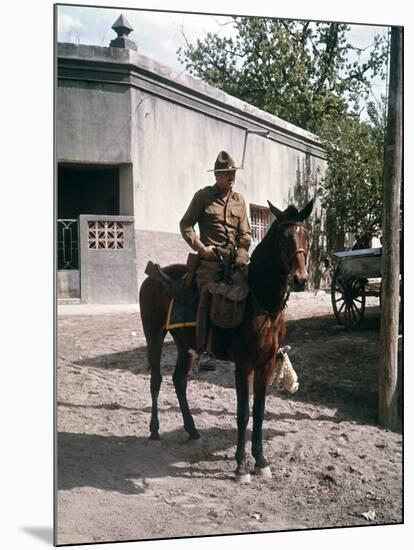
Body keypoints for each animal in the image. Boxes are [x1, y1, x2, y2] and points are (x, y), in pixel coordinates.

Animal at [139, 201, 314, 486]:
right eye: (282, 237)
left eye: (306, 235)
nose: (300, 279)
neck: (260, 304)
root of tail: (151, 277)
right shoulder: (243, 365)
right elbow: (243, 413)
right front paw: (241, 466)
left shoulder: (265, 365)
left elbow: (259, 411)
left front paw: (261, 460)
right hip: (153, 335)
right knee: (156, 380)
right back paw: (154, 431)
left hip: (186, 346)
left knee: (179, 380)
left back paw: (192, 430)